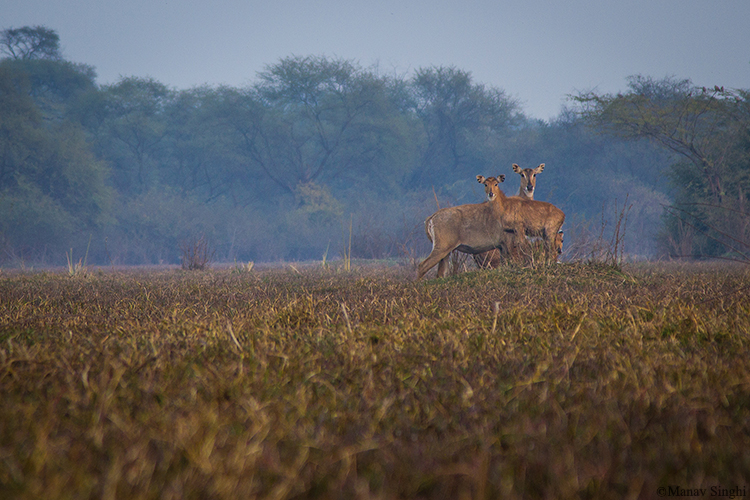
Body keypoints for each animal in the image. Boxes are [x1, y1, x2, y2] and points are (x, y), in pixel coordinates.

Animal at [414, 174, 568, 280]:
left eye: (562, 239)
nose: (559, 250)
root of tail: (431, 218)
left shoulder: (502, 246)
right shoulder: (508, 243)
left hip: (446, 253)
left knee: (440, 274)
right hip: (441, 248)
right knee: (422, 266)